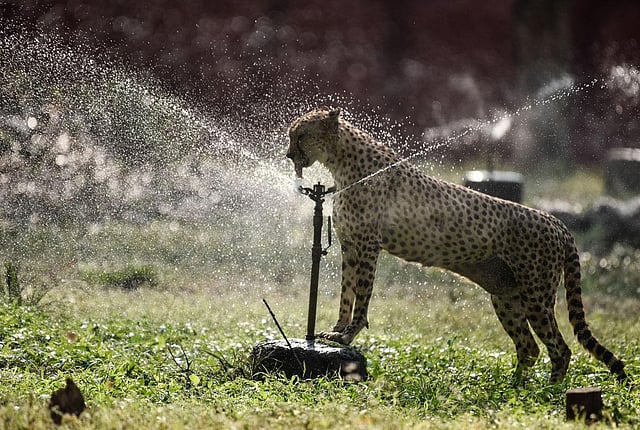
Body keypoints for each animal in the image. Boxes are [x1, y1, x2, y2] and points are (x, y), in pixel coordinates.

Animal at [286, 106, 627, 383]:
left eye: (300, 136)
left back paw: (548, 392)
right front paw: (336, 331)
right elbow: (346, 294)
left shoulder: (368, 246)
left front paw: (348, 335)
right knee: (529, 347)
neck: (342, 160)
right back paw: (513, 387)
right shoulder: (351, 246)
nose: (289, 155)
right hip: (506, 296)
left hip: (536, 296)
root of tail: (556, 221)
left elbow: (362, 296)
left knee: (560, 349)